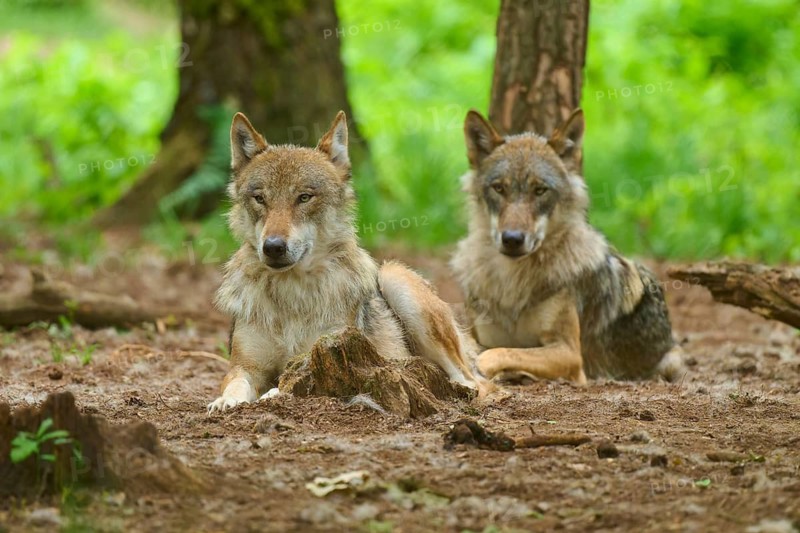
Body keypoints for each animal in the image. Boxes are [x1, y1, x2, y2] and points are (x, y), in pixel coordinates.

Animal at [208, 111, 485, 412]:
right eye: (259, 198)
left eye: (304, 197)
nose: (273, 247)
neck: (292, 296)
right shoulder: (245, 366)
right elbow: (235, 383)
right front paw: (225, 401)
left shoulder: (319, 358)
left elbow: (286, 385)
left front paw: (272, 395)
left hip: (394, 276)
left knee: (478, 383)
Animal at [450, 109, 684, 384]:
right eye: (499, 188)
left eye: (540, 190)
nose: (512, 239)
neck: (512, 283)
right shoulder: (484, 335)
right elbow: (492, 348)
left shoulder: (568, 353)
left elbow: (497, 354)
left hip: (670, 362)